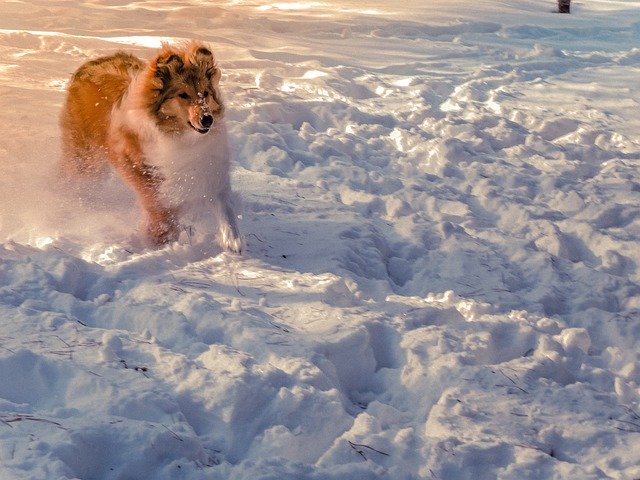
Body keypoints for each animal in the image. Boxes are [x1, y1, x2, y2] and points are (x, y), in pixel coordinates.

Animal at [58, 40, 242, 255]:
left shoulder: (209, 170)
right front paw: (160, 237)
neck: (182, 138)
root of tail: (87, 65)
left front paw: (233, 241)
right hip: (87, 157)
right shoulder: (145, 171)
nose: (207, 119)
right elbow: (159, 208)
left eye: (205, 93)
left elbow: (225, 208)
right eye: (183, 95)